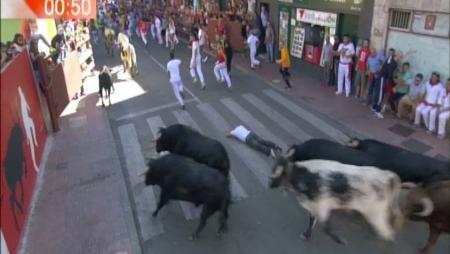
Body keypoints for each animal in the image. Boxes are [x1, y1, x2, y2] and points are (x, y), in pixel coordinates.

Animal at [268, 157, 402, 244]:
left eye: (277, 174)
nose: (269, 185)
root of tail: (387, 176)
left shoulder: (322, 206)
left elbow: (326, 228)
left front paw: (340, 240)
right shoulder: (314, 206)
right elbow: (312, 222)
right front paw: (306, 235)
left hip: (376, 214)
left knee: (388, 233)